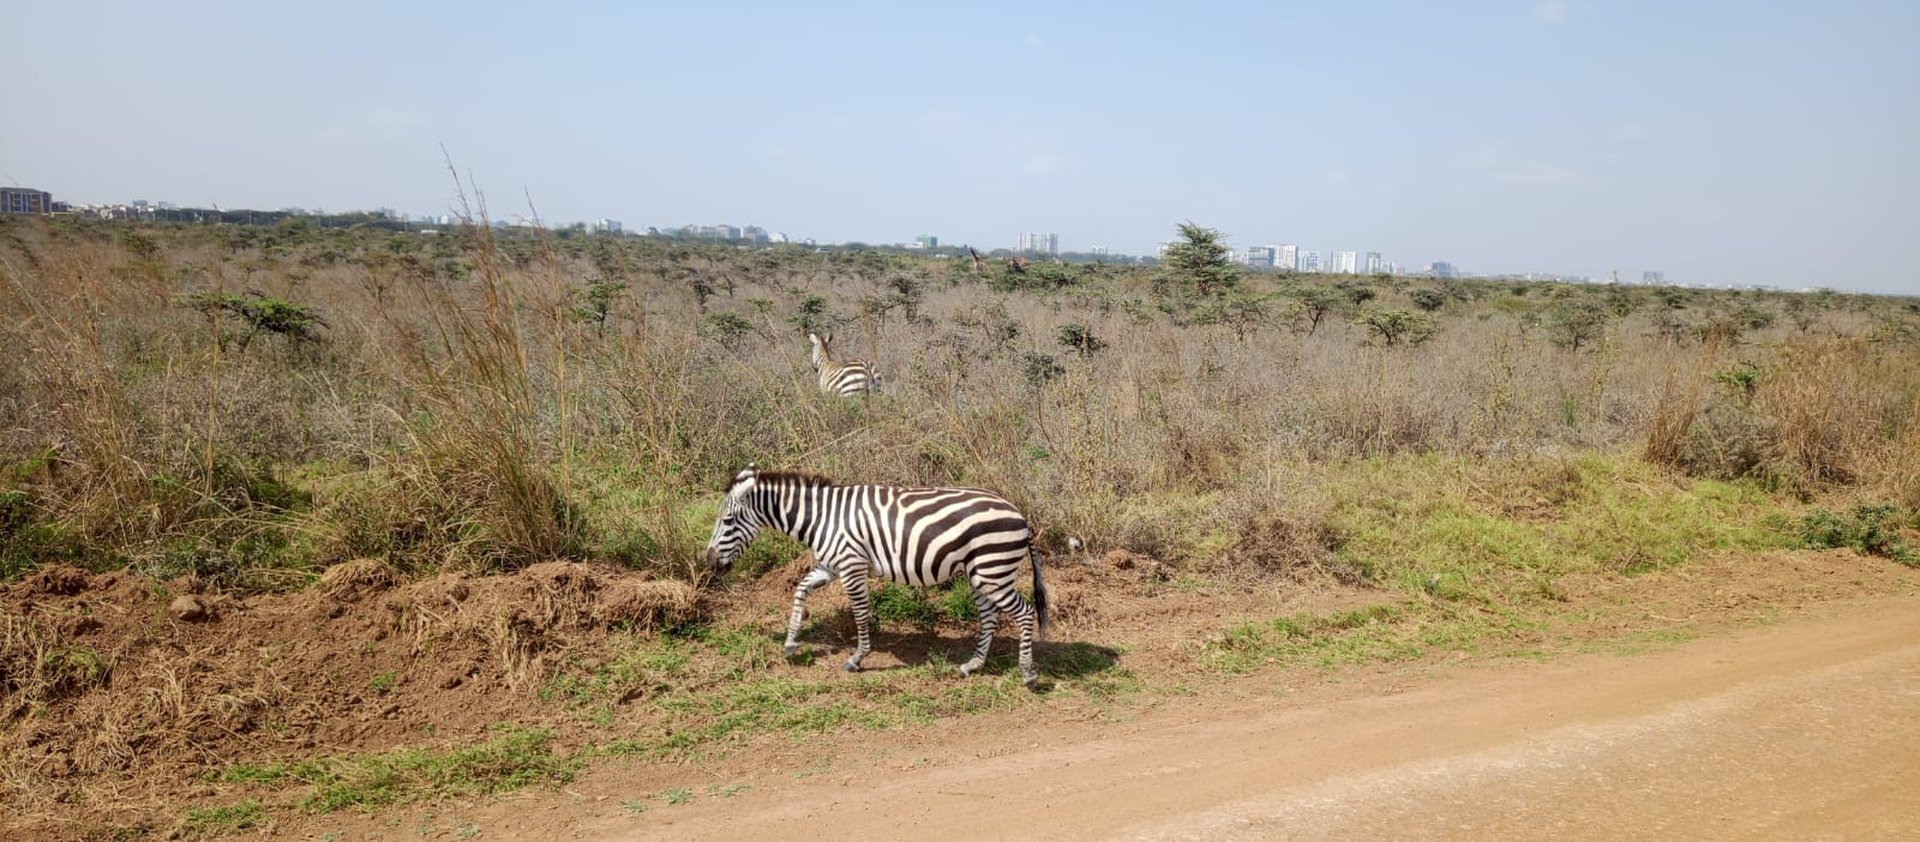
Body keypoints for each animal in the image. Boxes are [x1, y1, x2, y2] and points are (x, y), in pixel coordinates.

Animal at [702, 465, 1049, 690]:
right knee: (990, 616)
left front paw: (857, 658)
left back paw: (1028, 674)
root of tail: (1019, 514)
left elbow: (859, 613)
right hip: (979, 573)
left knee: (1024, 612)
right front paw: (790, 643)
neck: (823, 519)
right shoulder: (830, 565)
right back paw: (973, 665)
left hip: (994, 570)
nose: (709, 562)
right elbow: (800, 590)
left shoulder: (851, 565)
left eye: (728, 521)